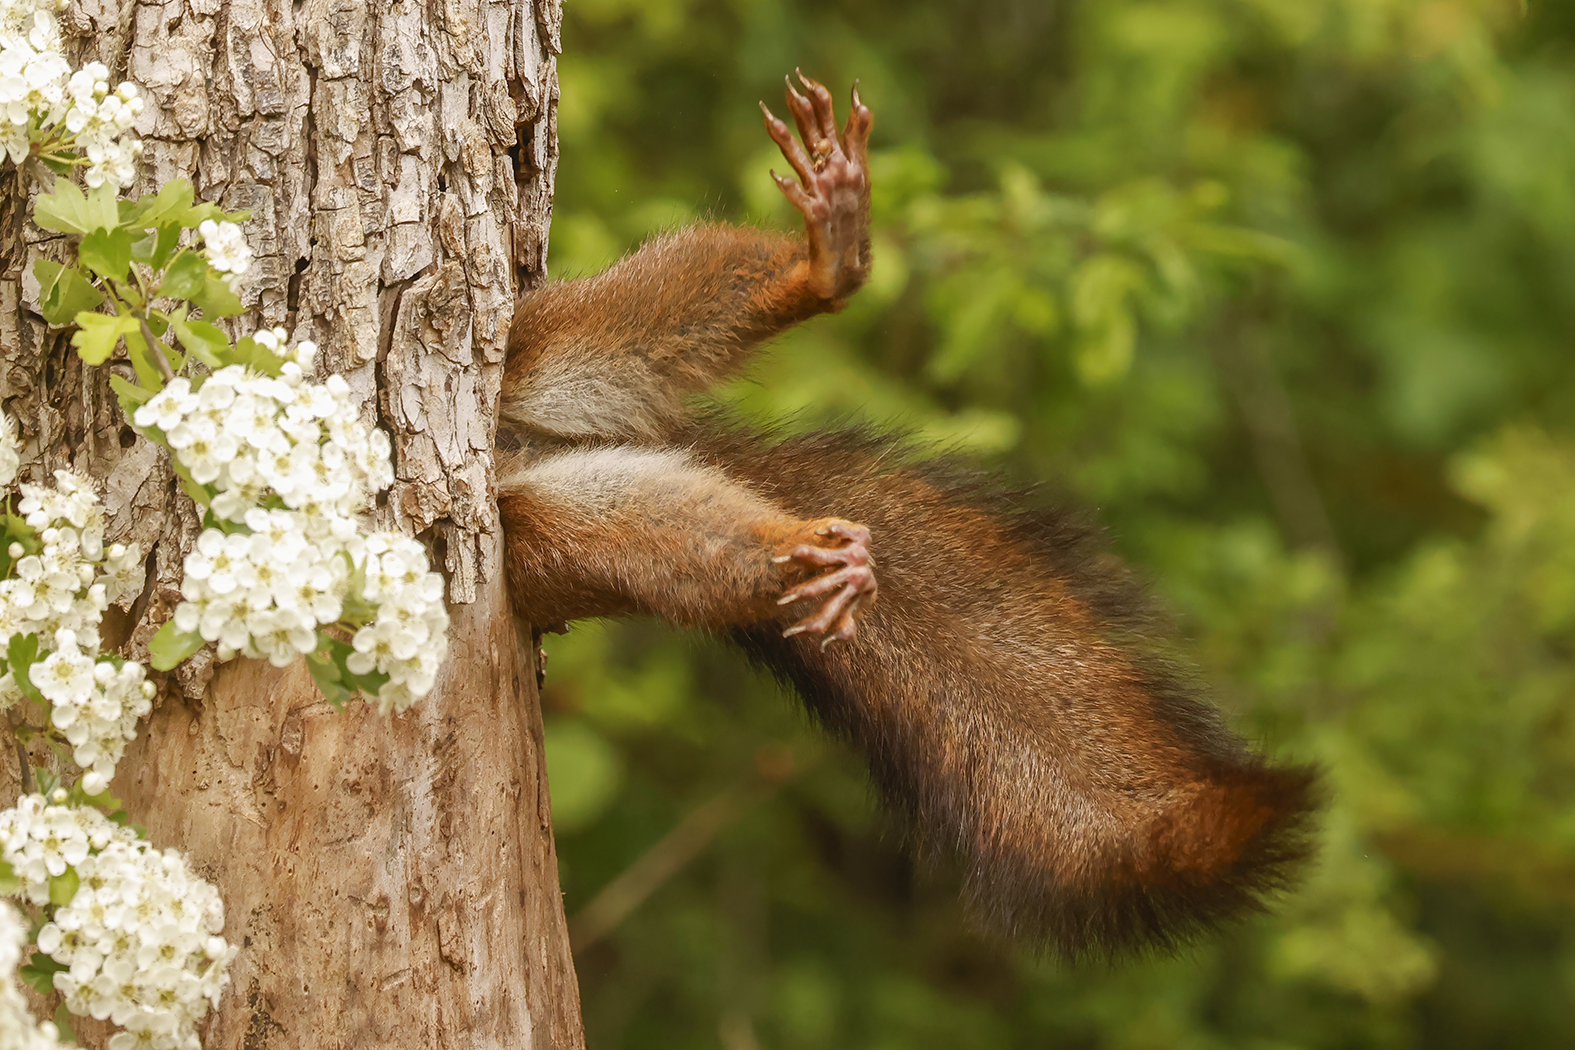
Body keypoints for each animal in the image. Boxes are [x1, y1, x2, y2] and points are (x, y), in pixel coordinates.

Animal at [494, 73, 1316, 963]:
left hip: (538, 346)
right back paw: (806, 555)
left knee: (643, 313)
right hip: (546, 535)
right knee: (657, 535)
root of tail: (522, 448)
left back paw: (826, 261)